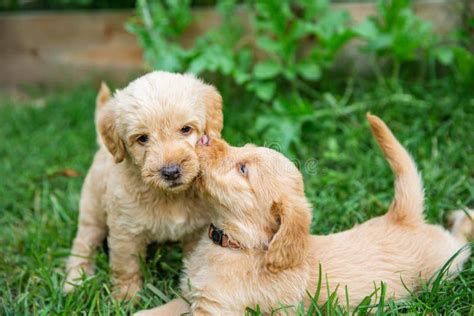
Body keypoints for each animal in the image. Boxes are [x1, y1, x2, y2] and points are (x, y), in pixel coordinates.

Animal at [63, 71, 224, 298]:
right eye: (142, 138)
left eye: (186, 129)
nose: (171, 172)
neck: (169, 196)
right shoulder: (125, 231)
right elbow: (126, 266)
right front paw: (126, 296)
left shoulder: (197, 229)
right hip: (92, 208)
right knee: (84, 242)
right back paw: (75, 279)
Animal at [135, 113, 472, 314]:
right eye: (241, 148)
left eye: (243, 169)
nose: (204, 138)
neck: (237, 245)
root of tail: (402, 216)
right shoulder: (189, 295)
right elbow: (150, 311)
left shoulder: (216, 308)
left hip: (443, 266)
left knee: (461, 244)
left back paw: (464, 217)